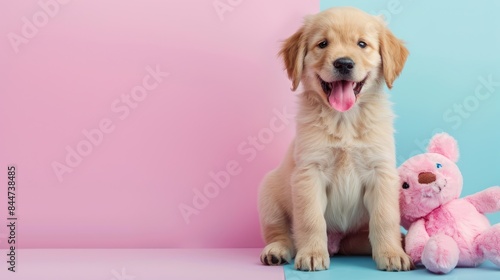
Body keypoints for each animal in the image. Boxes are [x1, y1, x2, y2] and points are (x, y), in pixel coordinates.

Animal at [258, 7, 410, 272]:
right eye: (322, 44)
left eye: (362, 44)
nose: (344, 63)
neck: (344, 119)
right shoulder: (309, 173)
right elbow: (311, 220)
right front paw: (312, 254)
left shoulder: (381, 172)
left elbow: (385, 218)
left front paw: (392, 254)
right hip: (268, 195)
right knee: (281, 232)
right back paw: (276, 251)